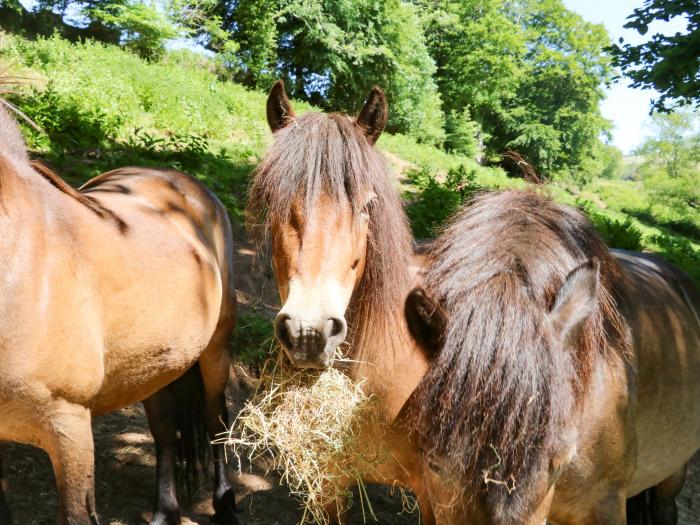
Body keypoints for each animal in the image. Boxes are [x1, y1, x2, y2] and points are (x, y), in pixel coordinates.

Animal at [0, 106, 238, 524]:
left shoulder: (70, 428)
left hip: (215, 351)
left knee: (215, 421)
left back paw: (225, 504)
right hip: (156, 364)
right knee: (164, 429)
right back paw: (164, 512)